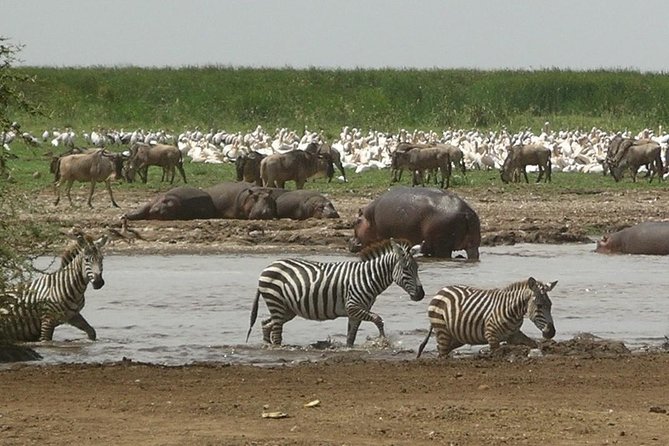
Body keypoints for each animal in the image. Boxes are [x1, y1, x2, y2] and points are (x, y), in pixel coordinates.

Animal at [349, 186, 481, 259]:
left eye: (356, 222)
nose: (350, 241)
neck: (369, 218)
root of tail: (466, 211)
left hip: (443, 246)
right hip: (472, 244)